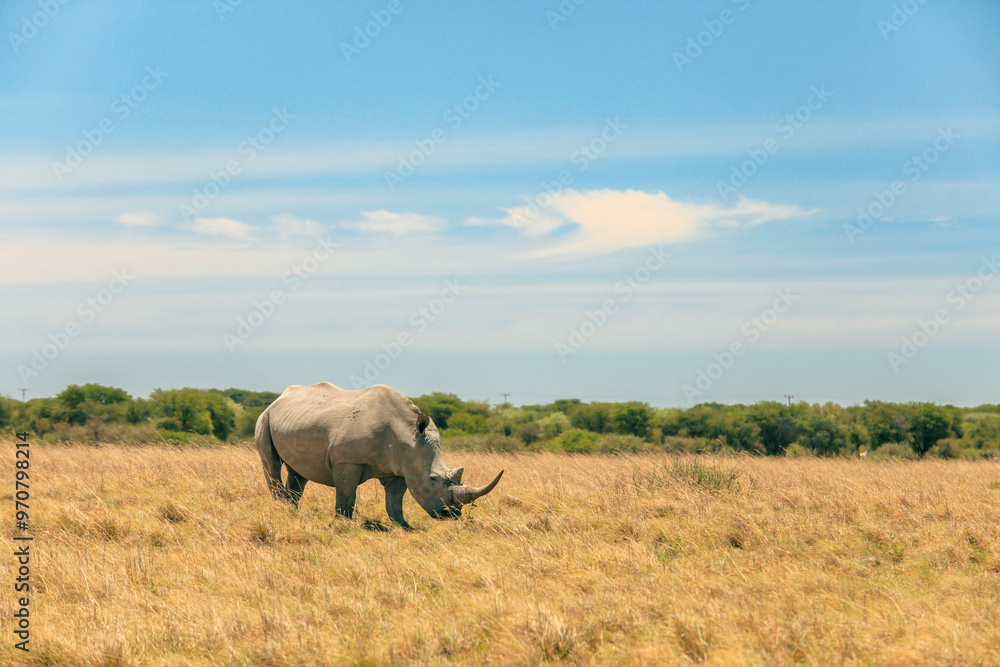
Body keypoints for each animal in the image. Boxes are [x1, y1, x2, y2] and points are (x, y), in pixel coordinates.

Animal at [255, 382, 503, 529]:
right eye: (433, 479)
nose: (452, 513)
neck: (408, 435)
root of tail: (278, 399)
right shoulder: (348, 459)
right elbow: (347, 495)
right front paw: (343, 525)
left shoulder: (401, 467)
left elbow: (394, 501)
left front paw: (404, 527)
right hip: (264, 417)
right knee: (272, 464)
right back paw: (281, 511)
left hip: (296, 419)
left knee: (299, 472)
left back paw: (292, 512)